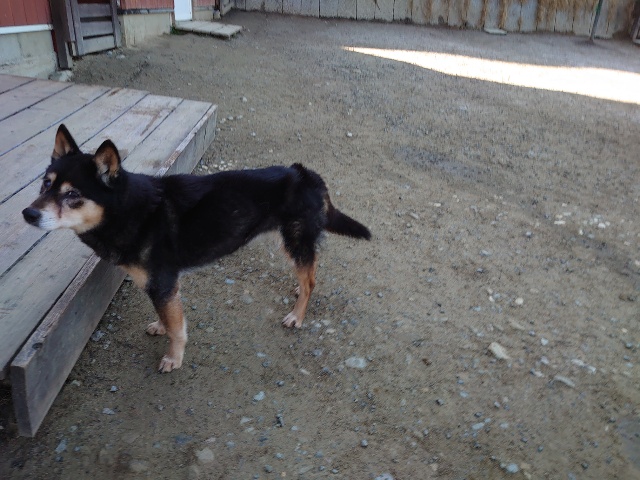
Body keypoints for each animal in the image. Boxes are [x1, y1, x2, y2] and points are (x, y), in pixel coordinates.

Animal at [22, 124, 371, 372]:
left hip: (295, 239)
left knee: (310, 279)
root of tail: (308, 174)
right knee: (308, 272)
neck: (128, 210)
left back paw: (297, 315)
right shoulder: (159, 285)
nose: (28, 214)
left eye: (73, 194)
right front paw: (159, 327)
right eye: (45, 184)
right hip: (289, 241)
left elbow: (178, 329)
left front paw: (173, 359)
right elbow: (165, 317)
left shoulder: (162, 282)